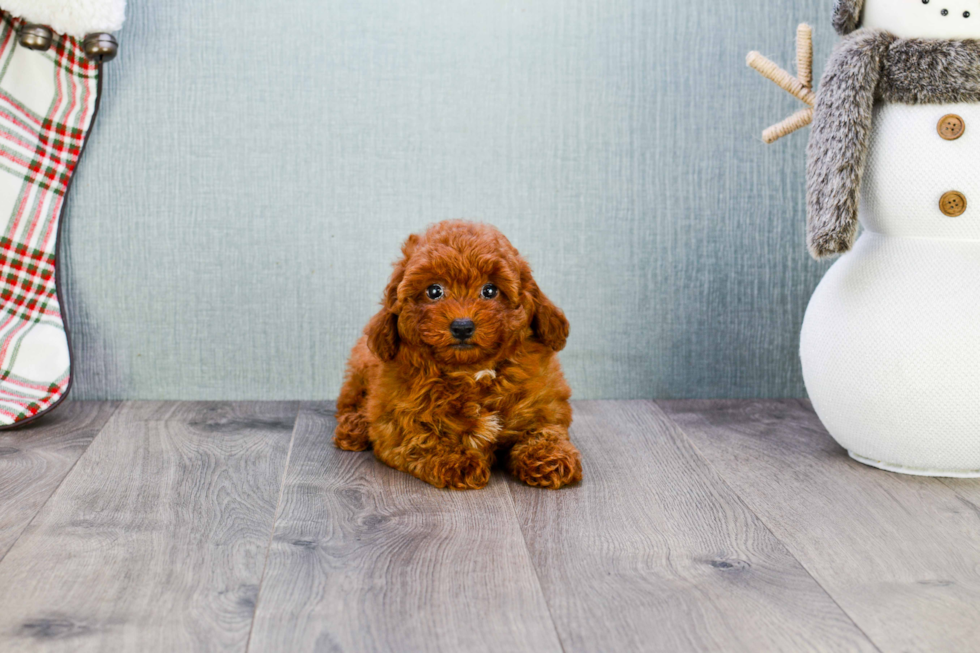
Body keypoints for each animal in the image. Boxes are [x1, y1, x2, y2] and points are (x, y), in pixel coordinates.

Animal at [336, 219, 580, 488]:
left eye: (490, 290)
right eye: (434, 291)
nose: (462, 326)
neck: (473, 371)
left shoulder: (544, 404)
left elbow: (544, 429)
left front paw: (551, 458)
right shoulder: (393, 421)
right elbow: (419, 437)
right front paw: (458, 460)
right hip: (360, 366)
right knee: (348, 402)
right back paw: (354, 427)